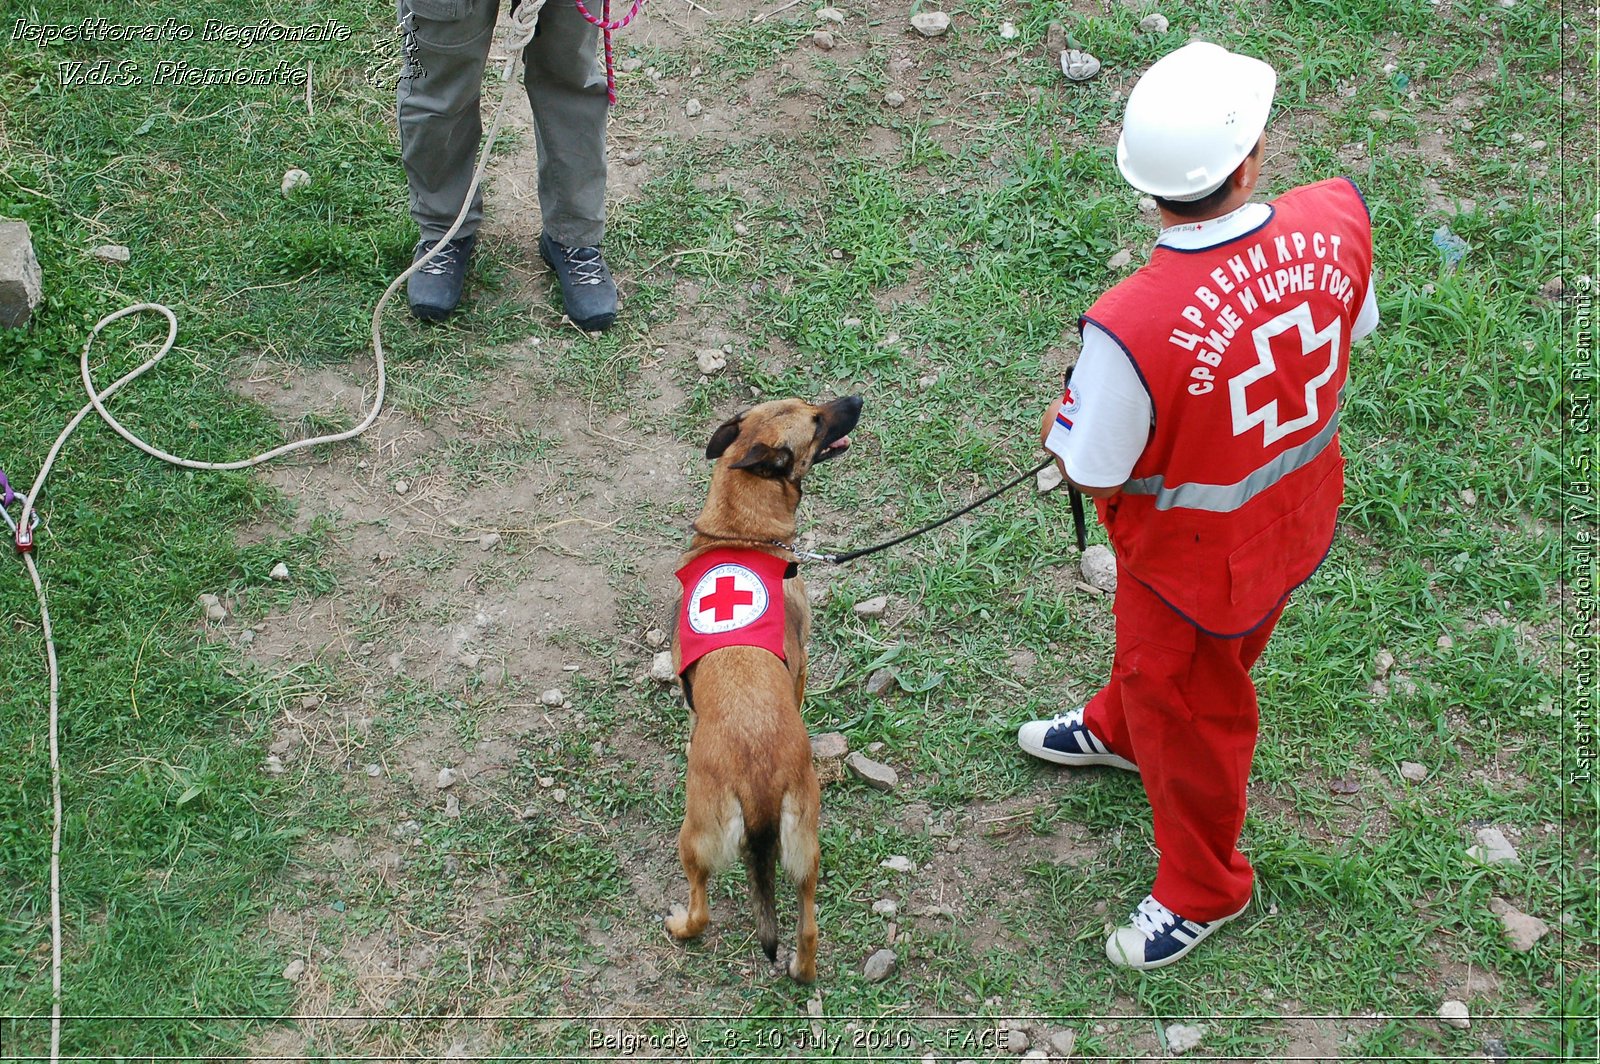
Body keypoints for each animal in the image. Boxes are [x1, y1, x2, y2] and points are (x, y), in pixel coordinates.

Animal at [662, 392, 864, 979]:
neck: (739, 530)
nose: (856, 398)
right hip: (805, 850)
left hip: (694, 838)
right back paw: (802, 970)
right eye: (815, 419)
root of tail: (758, 783)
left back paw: (681, 926)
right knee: (809, 927)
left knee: (702, 910)